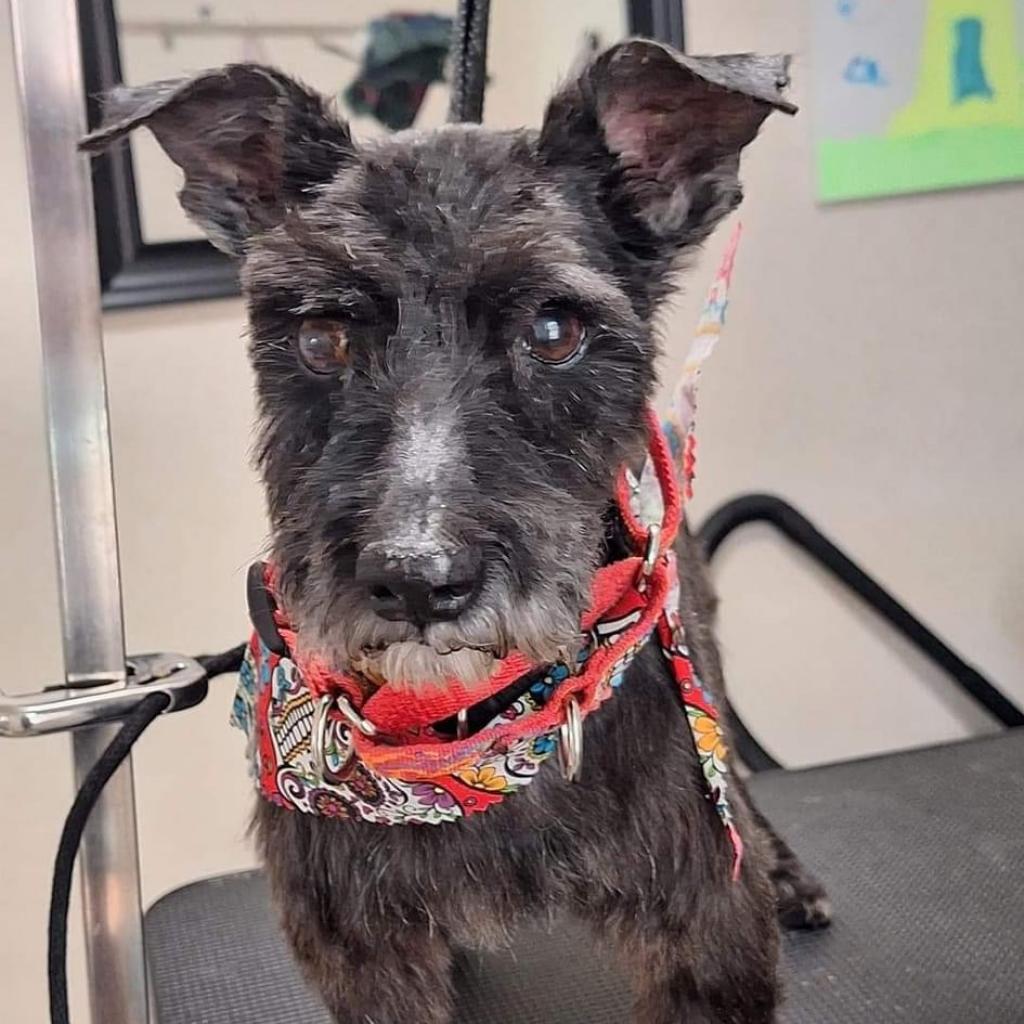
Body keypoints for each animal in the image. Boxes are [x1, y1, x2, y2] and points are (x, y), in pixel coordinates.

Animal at [83, 39, 827, 1024]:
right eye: (322, 337)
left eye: (553, 328)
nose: (415, 576)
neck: (469, 731)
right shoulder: (361, 946)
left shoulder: (703, 924)